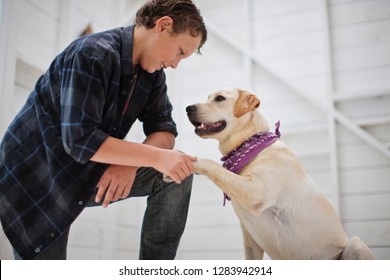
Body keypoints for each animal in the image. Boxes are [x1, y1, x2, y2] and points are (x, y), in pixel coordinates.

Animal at [187, 88, 374, 260]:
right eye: (208, 98)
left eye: (220, 98)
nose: (188, 108)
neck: (249, 144)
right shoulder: (250, 238)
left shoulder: (255, 192)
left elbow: (214, 166)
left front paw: (191, 161)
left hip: (355, 243)